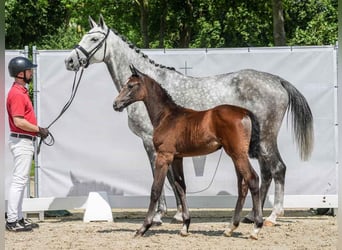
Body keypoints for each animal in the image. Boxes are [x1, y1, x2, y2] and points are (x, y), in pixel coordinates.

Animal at [113, 65, 264, 239]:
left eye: (130, 85)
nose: (115, 104)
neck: (167, 117)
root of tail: (245, 112)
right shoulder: (177, 158)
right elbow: (181, 187)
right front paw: (185, 225)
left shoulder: (164, 156)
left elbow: (156, 189)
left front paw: (143, 228)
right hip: (235, 155)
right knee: (242, 185)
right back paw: (230, 227)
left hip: (238, 155)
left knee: (252, 179)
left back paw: (256, 227)